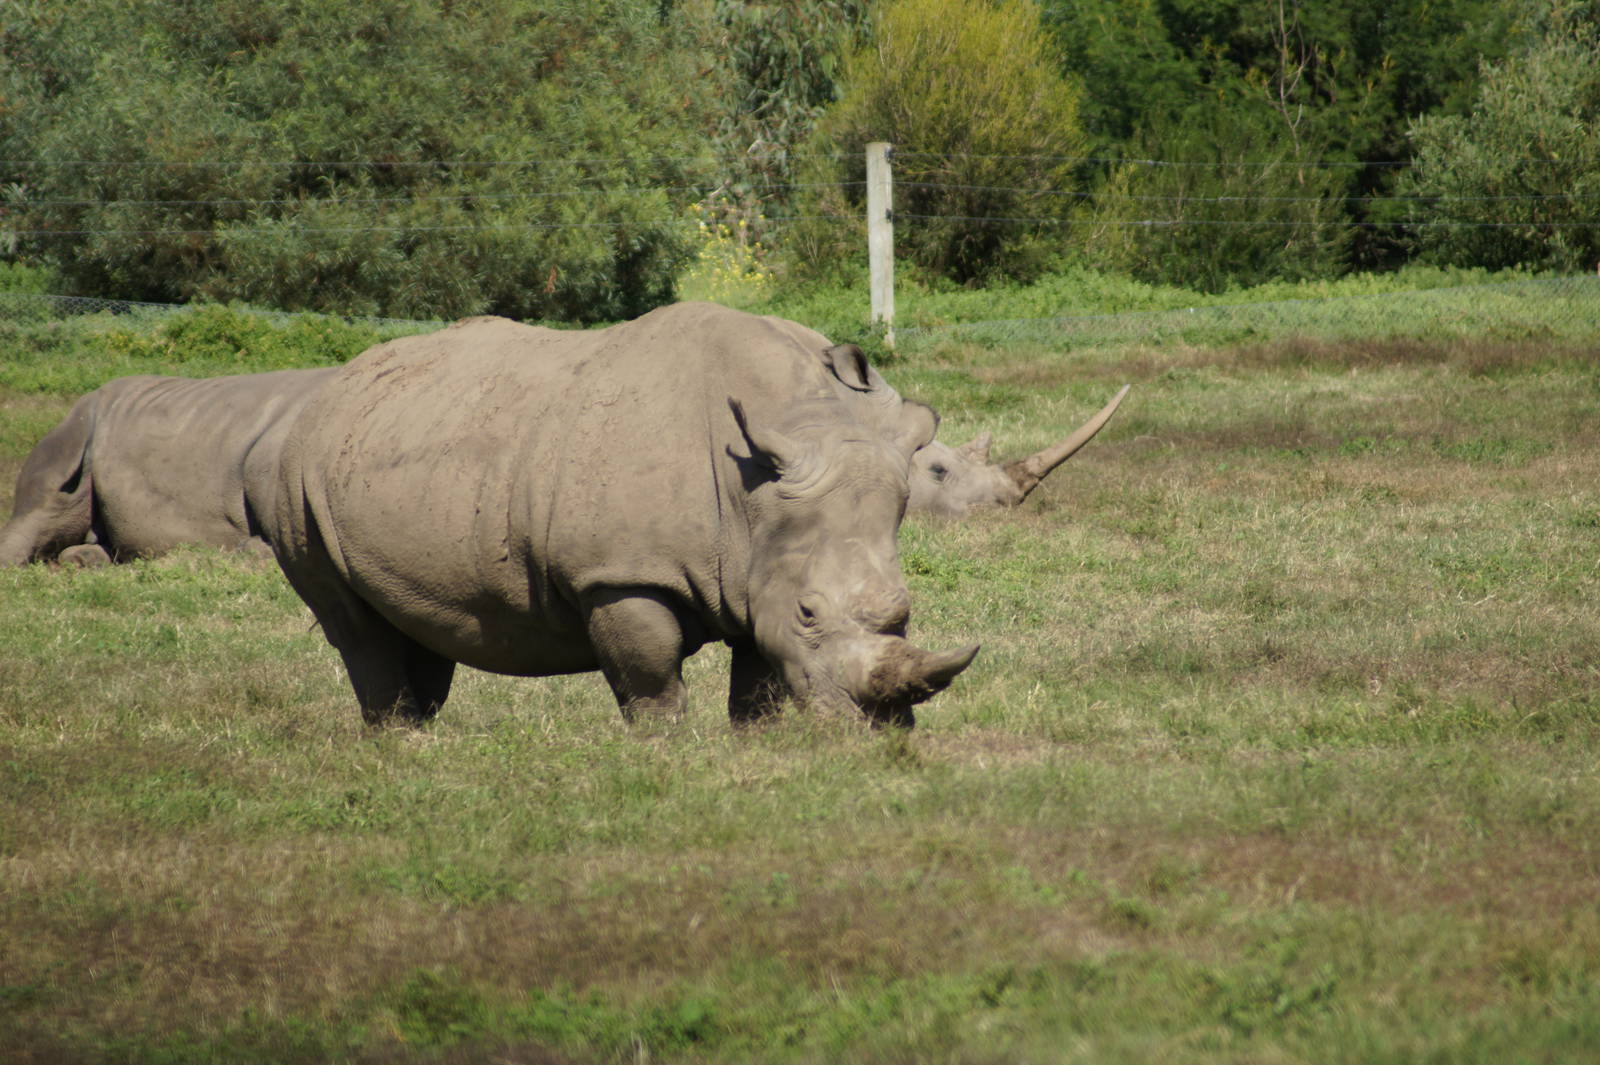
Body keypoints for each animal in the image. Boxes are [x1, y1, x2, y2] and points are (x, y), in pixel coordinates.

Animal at [267, 303, 978, 728]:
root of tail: (333, 385)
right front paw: (665, 754)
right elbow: (652, 679)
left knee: (413, 623)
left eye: (905, 611)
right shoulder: (618, 573)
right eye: (810, 614)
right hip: (293, 477)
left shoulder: (757, 569)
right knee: (356, 628)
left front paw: (760, 748)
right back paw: (398, 744)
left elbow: (757, 685)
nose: (882, 728)